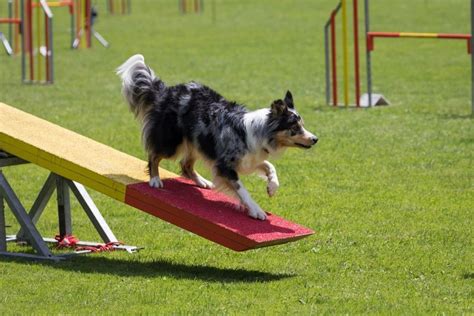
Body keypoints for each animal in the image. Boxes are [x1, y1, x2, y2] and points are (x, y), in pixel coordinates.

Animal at [117, 54, 318, 221]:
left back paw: (202, 182)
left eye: (303, 124)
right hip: (172, 142)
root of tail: (168, 90)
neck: (260, 131)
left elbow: (270, 167)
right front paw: (256, 210)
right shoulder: (225, 165)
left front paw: (272, 187)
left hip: (197, 142)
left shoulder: (249, 160)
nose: (315, 139)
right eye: (295, 127)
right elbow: (242, 190)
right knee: (154, 154)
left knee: (185, 164)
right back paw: (155, 179)